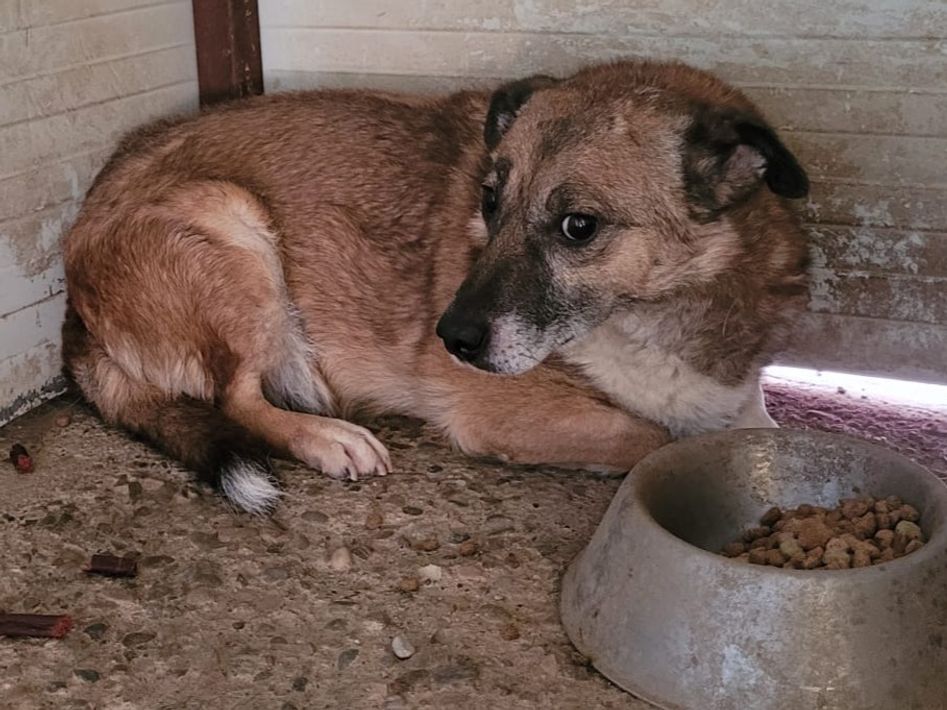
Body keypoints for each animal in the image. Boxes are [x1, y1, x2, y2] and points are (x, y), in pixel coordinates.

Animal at [61, 59, 810, 514]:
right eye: (490, 202)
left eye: (579, 226)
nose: (448, 339)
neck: (661, 313)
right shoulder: (507, 413)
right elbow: (658, 437)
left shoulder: (740, 402)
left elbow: (757, 430)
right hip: (230, 223)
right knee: (235, 399)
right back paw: (328, 438)